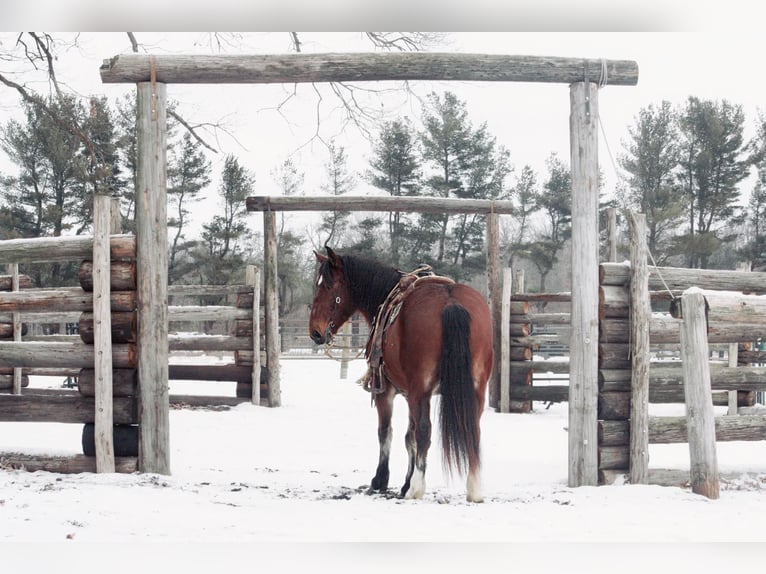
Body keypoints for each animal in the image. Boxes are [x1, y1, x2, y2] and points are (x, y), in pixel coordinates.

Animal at [308, 248, 496, 504]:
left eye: (327, 286)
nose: (315, 332)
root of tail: (451, 302)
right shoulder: (409, 394)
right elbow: (409, 438)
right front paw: (404, 482)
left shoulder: (387, 391)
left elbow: (387, 432)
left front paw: (381, 481)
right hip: (474, 389)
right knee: (472, 429)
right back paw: (474, 489)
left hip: (421, 391)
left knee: (425, 431)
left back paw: (417, 488)